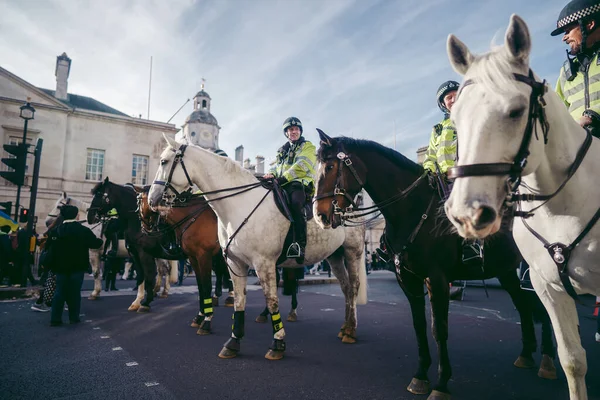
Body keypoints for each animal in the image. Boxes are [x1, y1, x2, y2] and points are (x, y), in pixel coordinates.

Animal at [148, 134, 368, 360]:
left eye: (164, 161)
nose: (152, 199)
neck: (239, 205)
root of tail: (351, 203)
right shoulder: (233, 262)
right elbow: (238, 299)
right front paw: (233, 341)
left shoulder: (261, 263)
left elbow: (271, 300)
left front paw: (277, 343)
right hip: (334, 255)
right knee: (345, 288)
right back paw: (344, 327)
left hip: (352, 252)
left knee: (353, 287)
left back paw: (350, 330)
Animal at [314, 130, 556, 398]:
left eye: (330, 166)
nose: (319, 215)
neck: (412, 210)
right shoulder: (408, 279)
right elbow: (419, 326)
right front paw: (420, 375)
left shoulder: (437, 278)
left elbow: (438, 329)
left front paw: (441, 383)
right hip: (506, 270)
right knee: (523, 305)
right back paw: (526, 354)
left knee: (542, 308)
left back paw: (547, 361)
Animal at [442, 13, 600, 400]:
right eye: (456, 120)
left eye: (515, 111)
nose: (466, 214)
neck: (562, 209)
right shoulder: (547, 288)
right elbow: (573, 361)